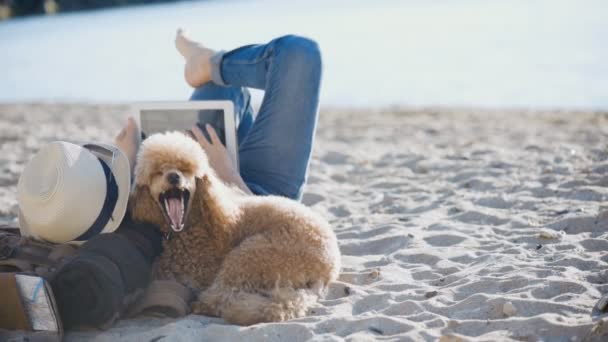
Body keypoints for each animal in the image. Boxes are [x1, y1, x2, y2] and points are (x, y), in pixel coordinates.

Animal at [129, 132, 342, 326]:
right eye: (157, 172)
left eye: (186, 169)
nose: (173, 177)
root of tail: (328, 269)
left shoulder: (197, 269)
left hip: (253, 253)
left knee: (224, 295)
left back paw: (204, 305)